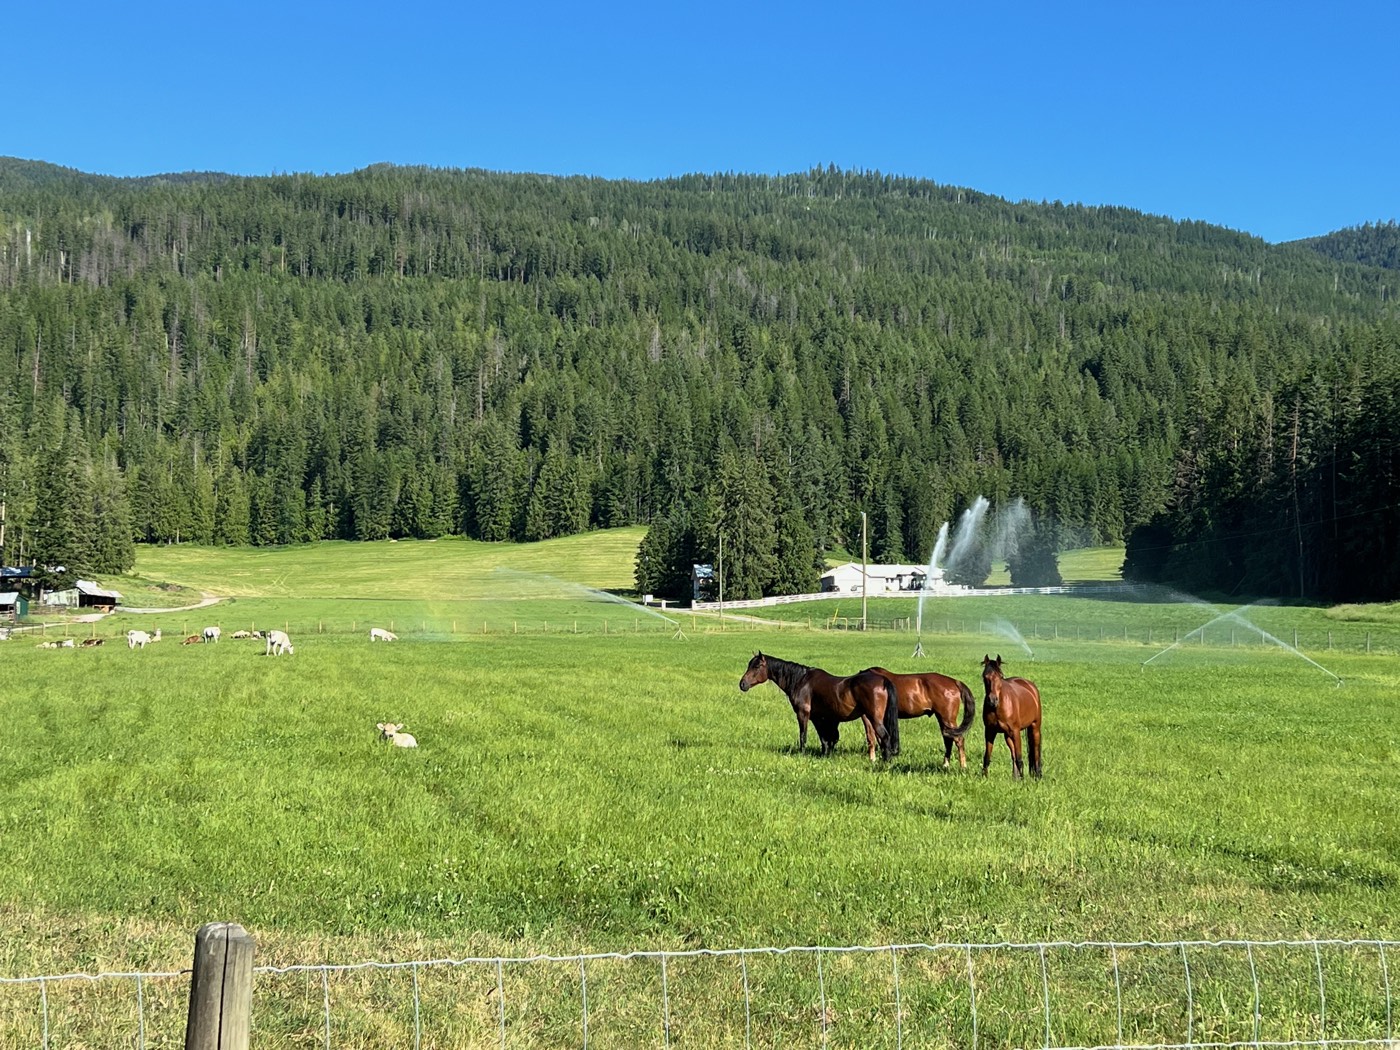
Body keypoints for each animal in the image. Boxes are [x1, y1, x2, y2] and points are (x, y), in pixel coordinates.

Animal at [738, 652, 900, 762]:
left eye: (757, 666)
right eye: (748, 665)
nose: (742, 684)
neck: (801, 680)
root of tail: (883, 680)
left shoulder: (803, 714)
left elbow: (803, 736)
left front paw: (802, 754)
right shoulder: (818, 718)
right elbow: (824, 739)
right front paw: (825, 756)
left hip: (874, 718)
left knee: (885, 737)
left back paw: (885, 762)